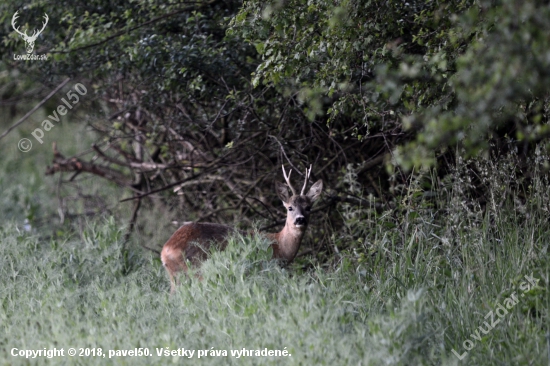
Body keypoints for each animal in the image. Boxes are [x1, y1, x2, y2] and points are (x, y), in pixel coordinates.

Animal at [161, 164, 324, 294]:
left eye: (308, 207)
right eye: (290, 207)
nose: (300, 219)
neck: (280, 247)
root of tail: (165, 251)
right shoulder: (264, 268)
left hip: (176, 275)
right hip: (196, 268)